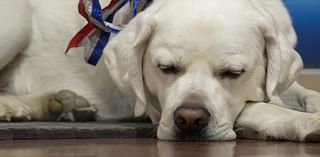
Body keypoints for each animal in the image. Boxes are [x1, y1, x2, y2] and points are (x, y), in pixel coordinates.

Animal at [0, 0, 320, 142]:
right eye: (166, 68)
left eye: (233, 73)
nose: (189, 119)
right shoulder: (154, 106)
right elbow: (259, 107)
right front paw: (307, 123)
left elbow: (302, 94)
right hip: (18, 18)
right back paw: (13, 107)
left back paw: (60, 104)